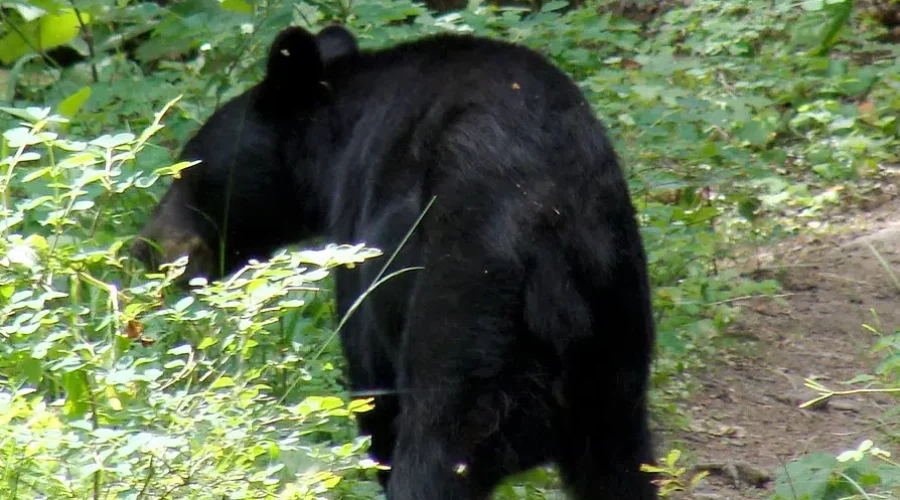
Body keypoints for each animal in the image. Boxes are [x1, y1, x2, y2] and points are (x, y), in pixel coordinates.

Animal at [131, 24, 658, 500]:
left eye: (186, 168)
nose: (145, 247)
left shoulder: (365, 245)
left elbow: (372, 394)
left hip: (463, 317)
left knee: (430, 455)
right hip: (613, 341)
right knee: (623, 469)